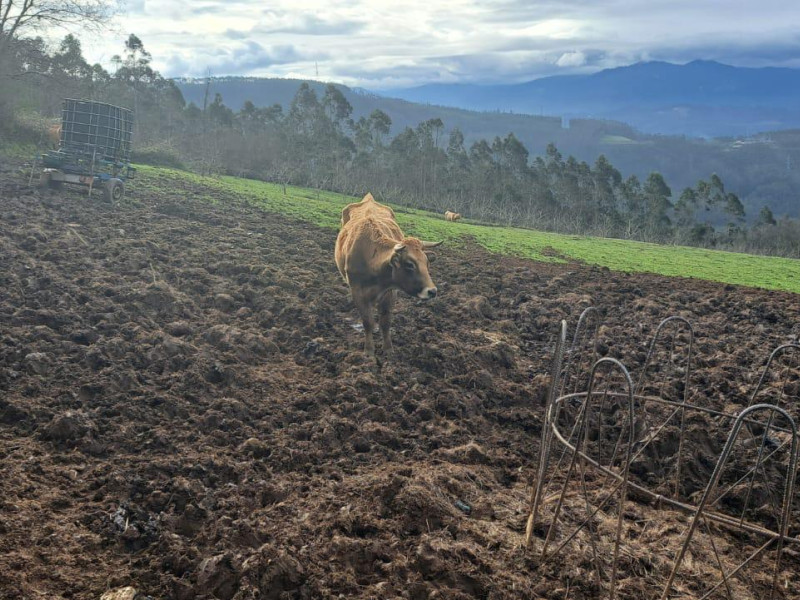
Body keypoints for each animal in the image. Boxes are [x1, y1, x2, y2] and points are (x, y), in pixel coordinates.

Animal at [332, 195, 440, 358]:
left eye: (427, 262)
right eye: (409, 264)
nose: (432, 291)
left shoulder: (390, 292)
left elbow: (386, 321)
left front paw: (388, 349)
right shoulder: (357, 291)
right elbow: (367, 322)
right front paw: (369, 351)